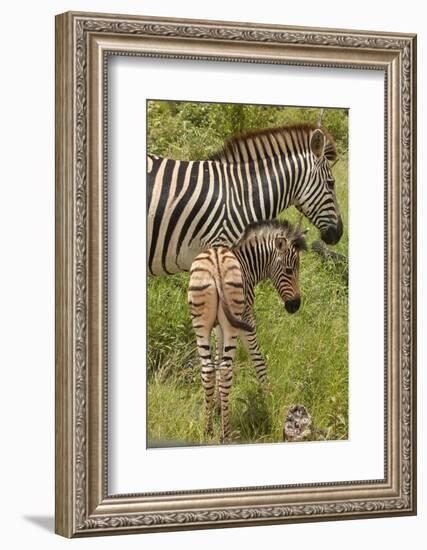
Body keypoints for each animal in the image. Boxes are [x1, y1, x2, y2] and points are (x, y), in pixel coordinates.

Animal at [189, 220, 306, 444]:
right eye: (289, 270)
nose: (295, 306)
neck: (247, 265)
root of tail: (216, 266)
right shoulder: (246, 317)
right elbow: (258, 359)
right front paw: (268, 398)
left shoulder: (217, 326)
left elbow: (216, 360)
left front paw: (218, 406)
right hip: (234, 323)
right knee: (226, 369)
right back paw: (225, 434)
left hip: (200, 322)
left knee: (208, 369)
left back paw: (208, 429)